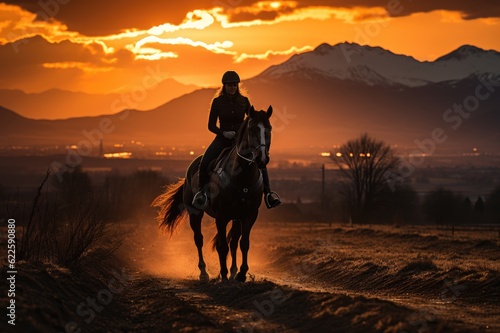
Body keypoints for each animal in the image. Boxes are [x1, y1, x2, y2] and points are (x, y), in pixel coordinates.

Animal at [151, 104, 274, 280]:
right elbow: (222, 246)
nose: (262, 159)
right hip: (195, 213)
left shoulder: (248, 215)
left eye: (269, 129)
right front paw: (223, 274)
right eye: (252, 129)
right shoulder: (221, 216)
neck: (242, 177)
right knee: (199, 239)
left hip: (235, 218)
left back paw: (233, 271)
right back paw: (204, 272)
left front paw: (241, 273)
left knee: (233, 242)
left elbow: (243, 243)